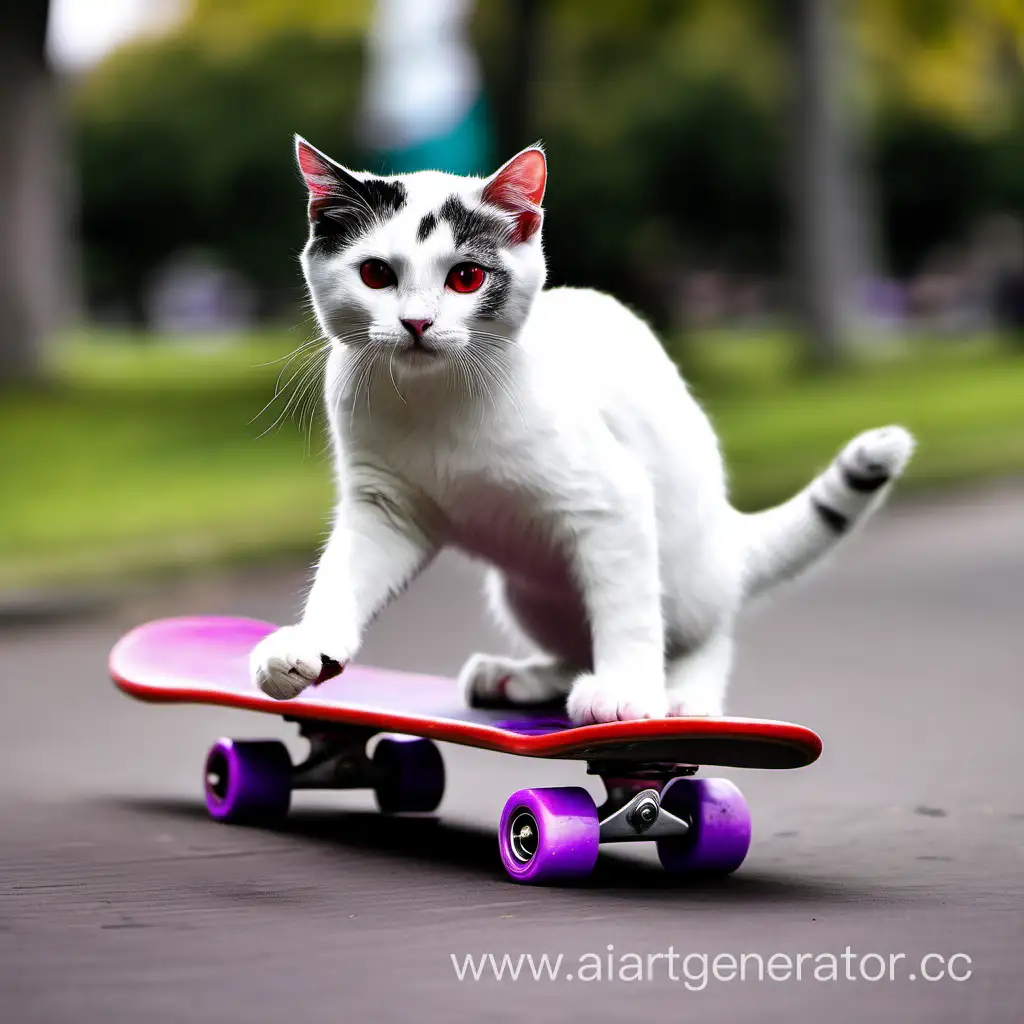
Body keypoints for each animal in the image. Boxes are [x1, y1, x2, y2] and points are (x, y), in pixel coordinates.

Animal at [251, 138, 917, 729]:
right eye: (375, 274)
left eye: (466, 278)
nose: (417, 323)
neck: (439, 400)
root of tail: (728, 539)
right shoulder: (384, 508)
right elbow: (343, 574)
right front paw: (311, 643)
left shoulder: (612, 501)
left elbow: (627, 611)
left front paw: (625, 691)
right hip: (527, 592)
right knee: (574, 644)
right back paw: (521, 678)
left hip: (686, 574)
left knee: (703, 631)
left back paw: (682, 695)